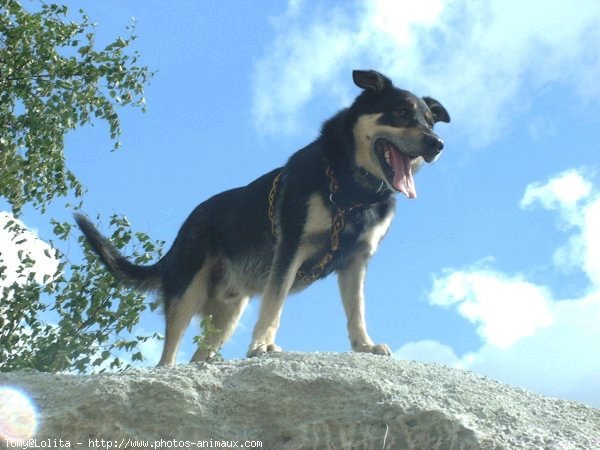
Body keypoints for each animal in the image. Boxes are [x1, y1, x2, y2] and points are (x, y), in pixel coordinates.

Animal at [75, 69, 448, 366]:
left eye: (429, 121)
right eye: (401, 112)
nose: (437, 144)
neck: (353, 190)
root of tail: (183, 231)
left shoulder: (356, 261)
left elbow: (356, 310)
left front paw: (364, 346)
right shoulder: (291, 248)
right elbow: (274, 301)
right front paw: (262, 345)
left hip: (226, 316)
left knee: (198, 355)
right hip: (187, 294)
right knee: (168, 355)